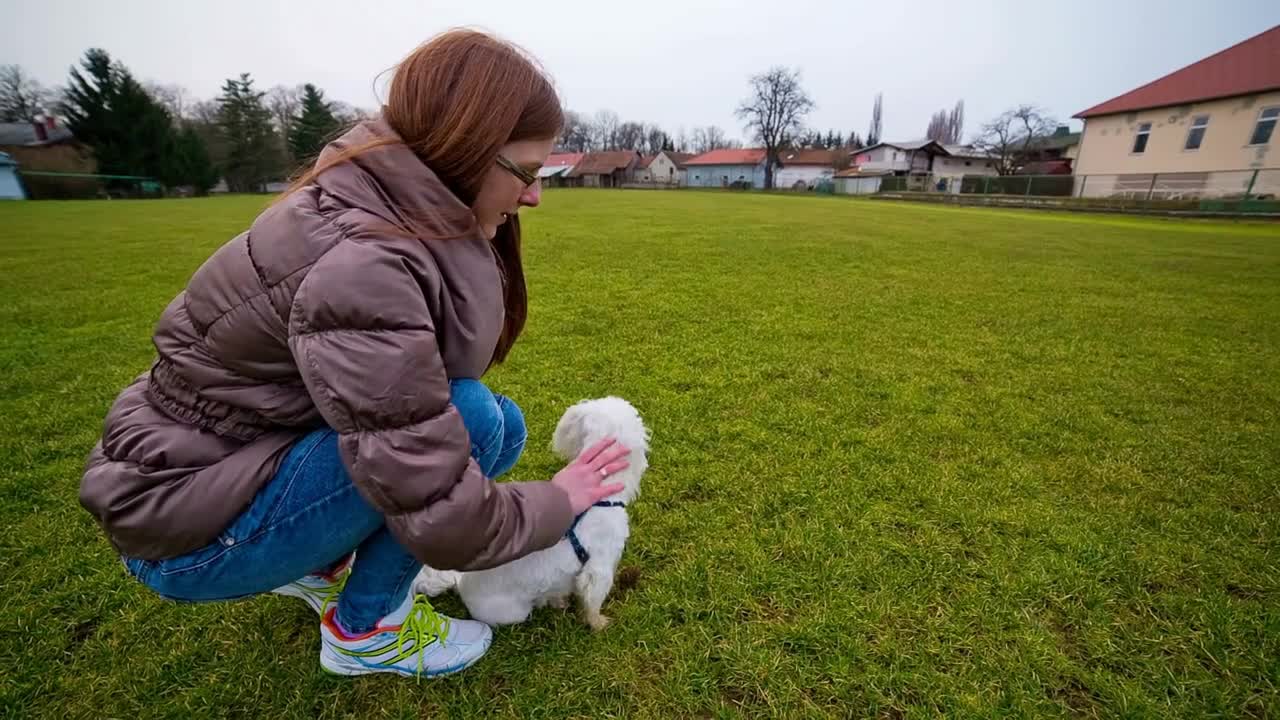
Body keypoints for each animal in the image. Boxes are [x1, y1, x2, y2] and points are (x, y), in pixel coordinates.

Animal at [412, 392, 650, 627]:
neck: (599, 496)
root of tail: (460, 584)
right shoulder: (599, 569)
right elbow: (592, 600)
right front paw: (598, 623)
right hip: (514, 613)